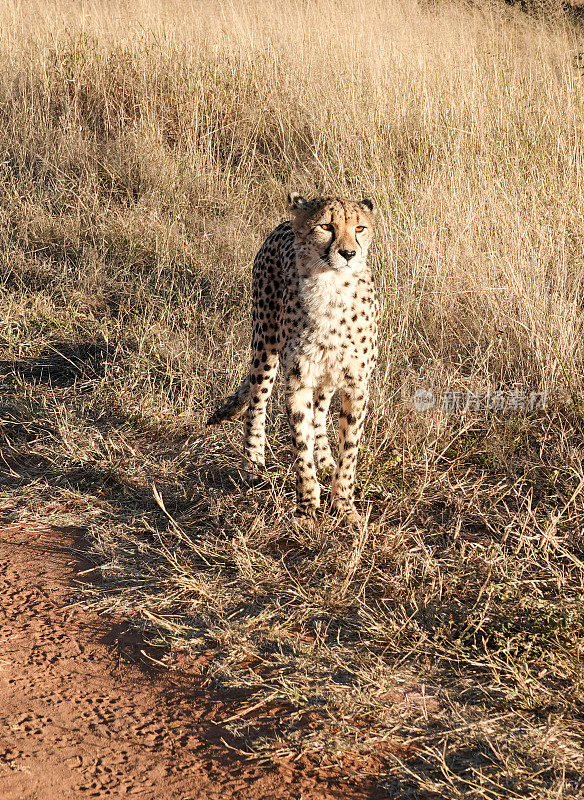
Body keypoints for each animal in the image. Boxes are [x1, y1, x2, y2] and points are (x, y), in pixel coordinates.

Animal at [209, 191, 378, 520]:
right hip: (265, 343)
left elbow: (349, 448)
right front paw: (308, 502)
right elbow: (300, 440)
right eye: (326, 226)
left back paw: (324, 458)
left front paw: (343, 503)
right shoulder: (298, 378)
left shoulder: (356, 382)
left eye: (360, 228)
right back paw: (253, 463)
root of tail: (286, 222)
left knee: (320, 412)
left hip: (325, 373)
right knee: (257, 403)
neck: (332, 288)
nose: (349, 254)